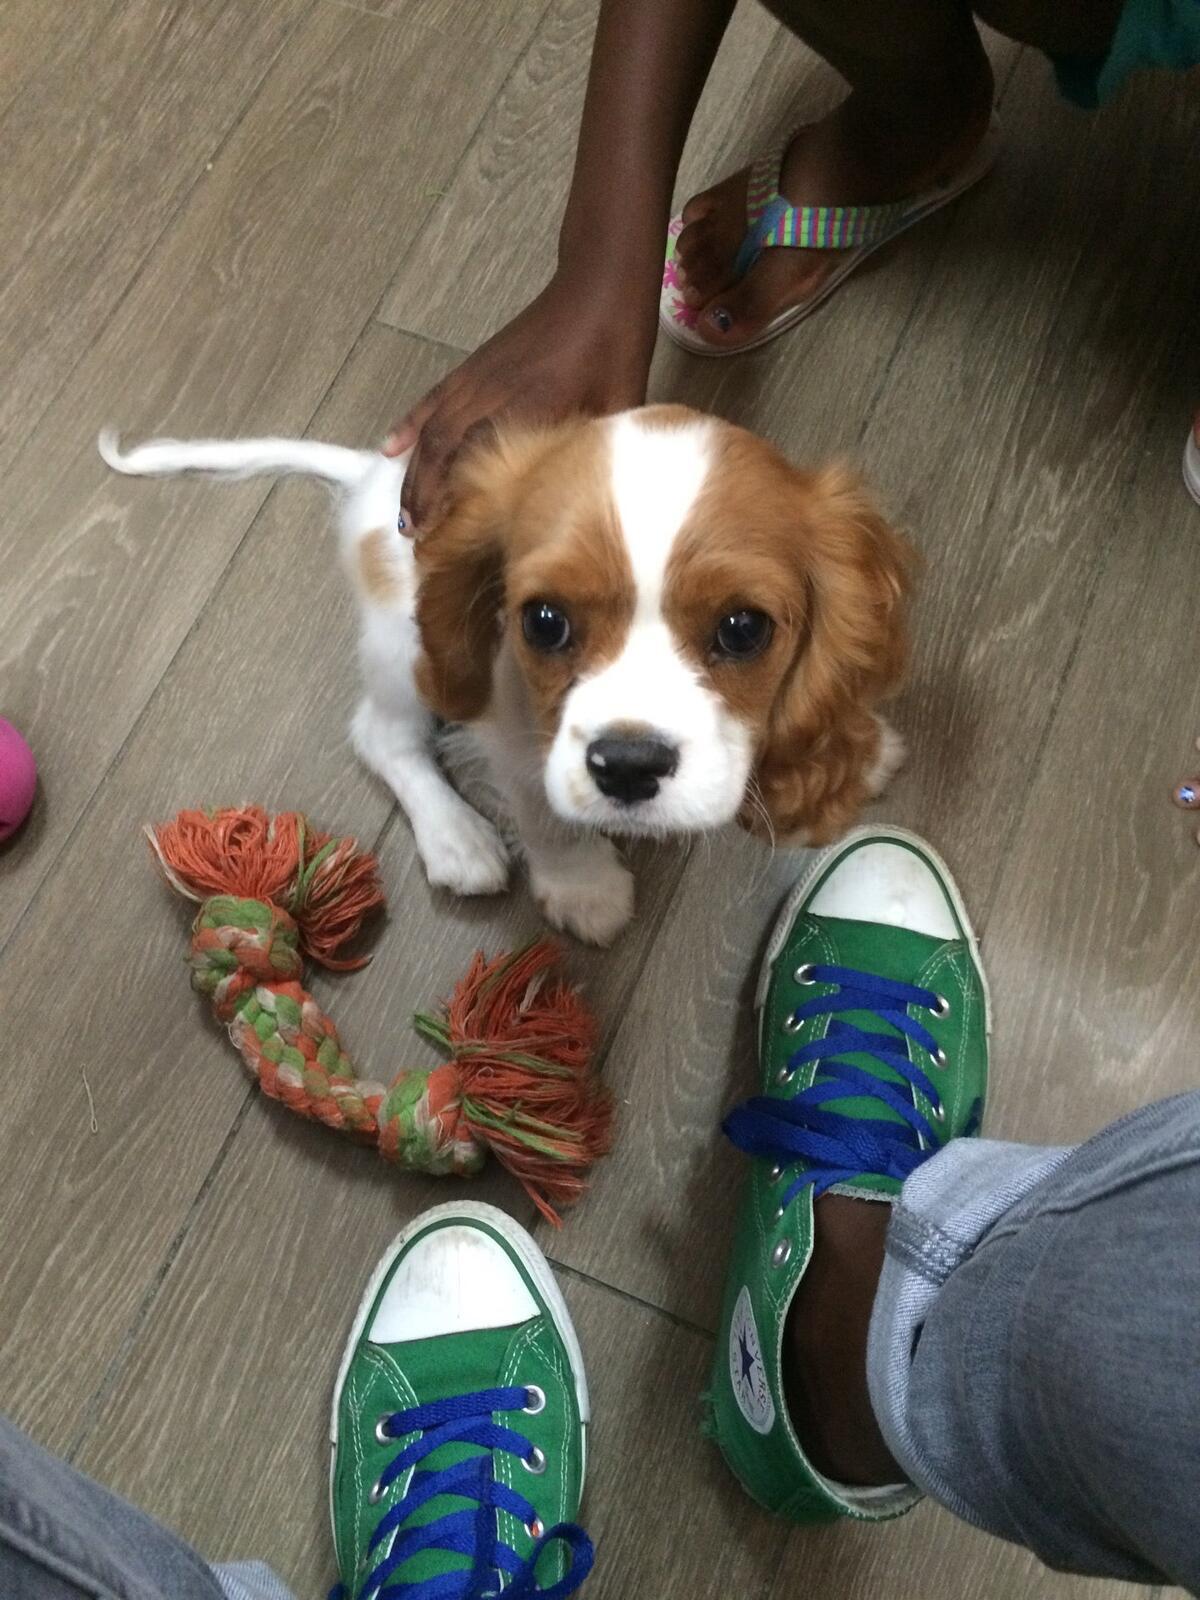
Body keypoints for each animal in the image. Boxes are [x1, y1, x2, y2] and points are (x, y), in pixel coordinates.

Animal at [99, 405, 911, 945]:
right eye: (544, 621)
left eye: (744, 629)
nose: (628, 767)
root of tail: (378, 477)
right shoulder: (519, 732)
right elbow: (548, 815)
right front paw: (585, 889)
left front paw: (864, 748)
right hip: (405, 649)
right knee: (381, 735)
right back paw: (457, 838)